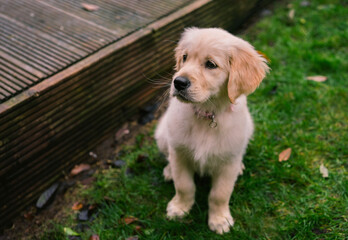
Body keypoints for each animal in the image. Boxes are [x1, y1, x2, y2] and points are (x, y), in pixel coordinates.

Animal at [155, 27, 270, 233]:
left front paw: (219, 219)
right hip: (162, 134)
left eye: (210, 64)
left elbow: (219, 194)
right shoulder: (179, 152)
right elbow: (184, 185)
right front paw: (179, 208)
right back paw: (168, 170)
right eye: (184, 57)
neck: (207, 114)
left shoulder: (228, 160)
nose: (178, 82)